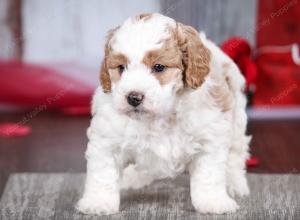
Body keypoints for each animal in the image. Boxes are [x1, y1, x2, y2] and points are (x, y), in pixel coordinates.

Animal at [77, 12, 251, 216]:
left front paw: (213, 202)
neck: (160, 116)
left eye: (159, 67)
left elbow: (209, 174)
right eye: (121, 68)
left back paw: (235, 184)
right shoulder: (106, 138)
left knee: (236, 155)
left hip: (237, 121)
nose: (133, 97)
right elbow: (102, 173)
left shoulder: (209, 137)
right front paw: (98, 202)